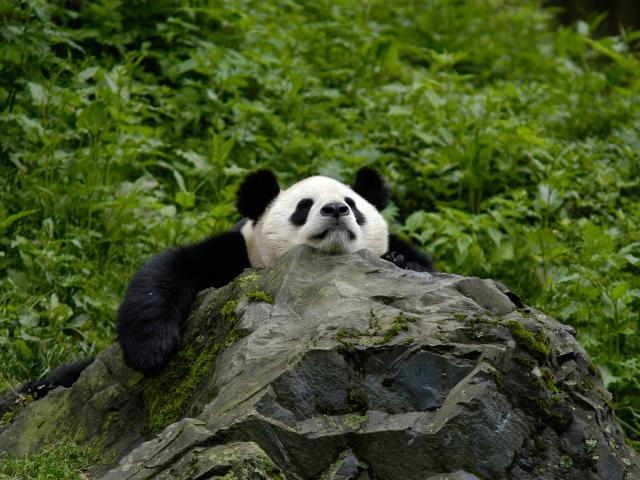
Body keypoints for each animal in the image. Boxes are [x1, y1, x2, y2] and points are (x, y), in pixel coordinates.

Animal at [13, 167, 432, 402]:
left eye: (353, 204)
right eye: (304, 206)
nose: (335, 210)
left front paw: (401, 262)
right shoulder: (238, 254)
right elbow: (167, 271)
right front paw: (152, 351)